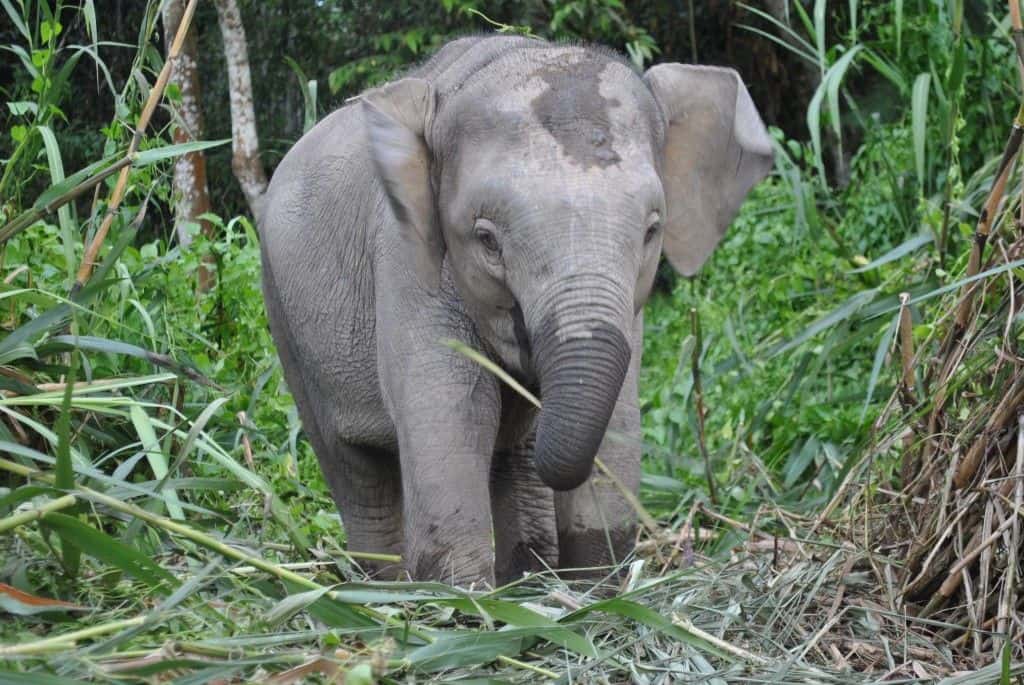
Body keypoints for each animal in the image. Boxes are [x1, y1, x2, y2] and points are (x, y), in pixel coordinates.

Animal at [256, 34, 770, 585]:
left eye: (652, 229)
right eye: (487, 240)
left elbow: (617, 419)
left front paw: (596, 588)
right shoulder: (404, 257)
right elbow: (454, 410)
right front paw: (461, 597)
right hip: (283, 312)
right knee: (354, 467)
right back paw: (384, 586)